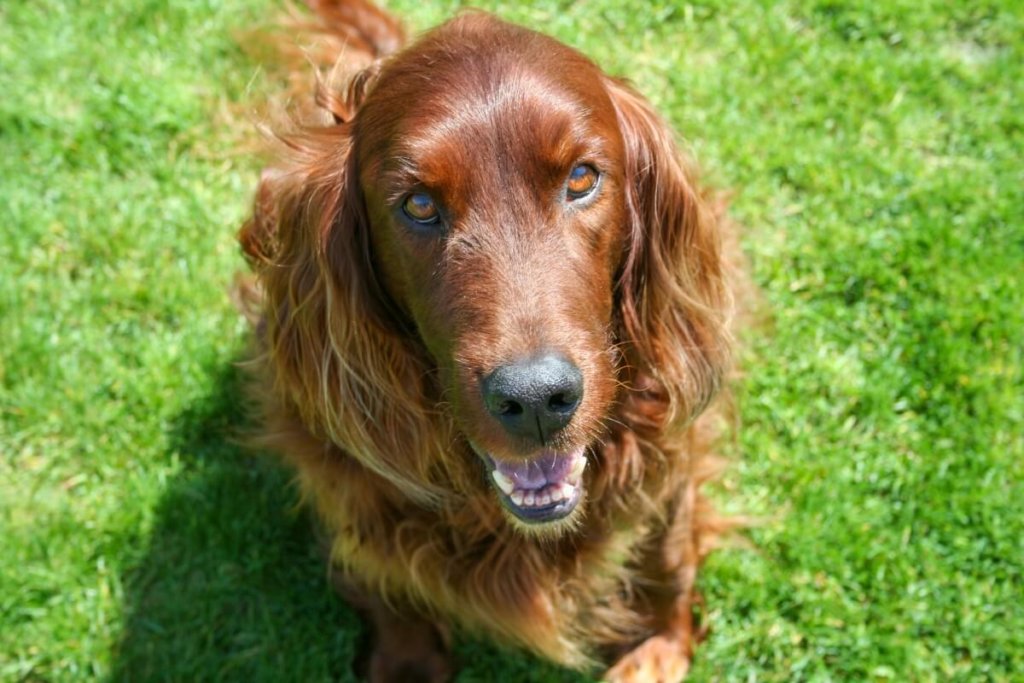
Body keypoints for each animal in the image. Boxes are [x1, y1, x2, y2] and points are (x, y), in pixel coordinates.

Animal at [236, 2, 741, 679]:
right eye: (419, 204)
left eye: (581, 178)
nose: (535, 400)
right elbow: (379, 573)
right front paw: (407, 658)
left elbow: (667, 552)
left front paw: (656, 644)